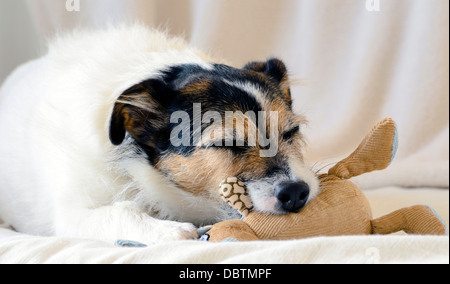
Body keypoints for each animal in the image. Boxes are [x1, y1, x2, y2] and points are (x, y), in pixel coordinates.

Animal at [0, 25, 320, 244]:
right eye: (228, 142)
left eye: (292, 131)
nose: (296, 192)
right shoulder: (71, 215)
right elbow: (119, 212)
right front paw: (168, 230)